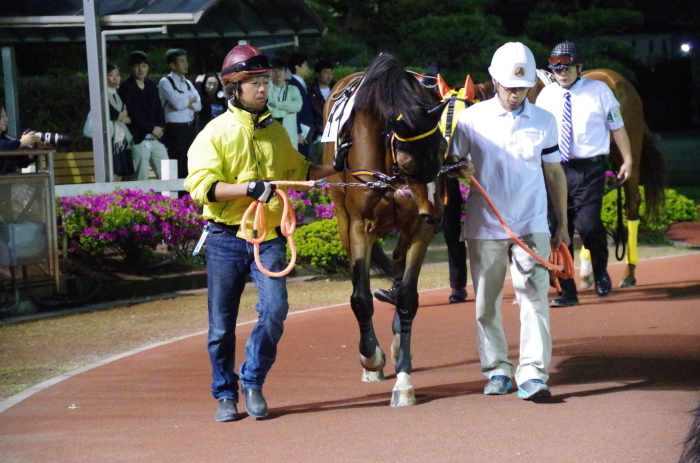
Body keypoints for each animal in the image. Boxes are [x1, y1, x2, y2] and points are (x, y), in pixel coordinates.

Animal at [324, 54, 448, 408]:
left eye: (443, 147)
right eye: (406, 158)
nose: (437, 215)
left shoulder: (419, 226)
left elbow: (407, 296)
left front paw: (404, 381)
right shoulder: (359, 226)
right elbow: (361, 298)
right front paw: (371, 357)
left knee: (398, 259)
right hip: (341, 216)